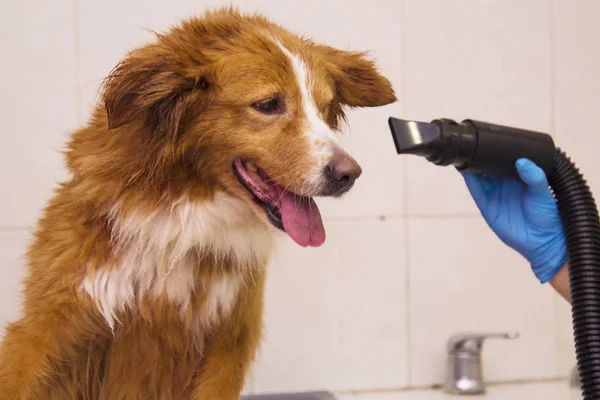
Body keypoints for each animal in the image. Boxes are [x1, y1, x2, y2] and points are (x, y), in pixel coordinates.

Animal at [0, 7, 396, 398]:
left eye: (325, 108)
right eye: (268, 104)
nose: (349, 174)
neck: (184, 211)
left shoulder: (229, 342)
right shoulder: (47, 328)